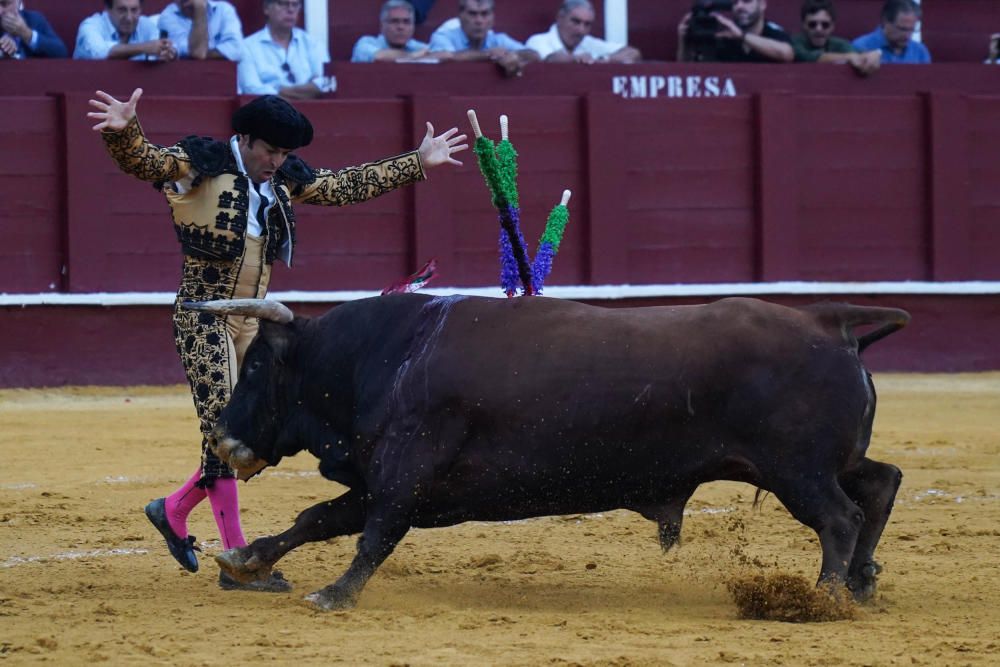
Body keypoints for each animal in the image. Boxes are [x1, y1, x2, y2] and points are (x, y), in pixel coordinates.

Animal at [180, 294, 908, 612]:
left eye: (254, 369)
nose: (222, 440)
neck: (382, 354)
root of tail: (832, 324)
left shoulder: (402, 476)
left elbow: (371, 534)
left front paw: (335, 593)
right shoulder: (401, 483)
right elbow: (318, 518)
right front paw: (245, 560)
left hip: (798, 470)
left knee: (839, 517)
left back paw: (826, 595)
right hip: (824, 463)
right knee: (880, 484)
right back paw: (864, 583)